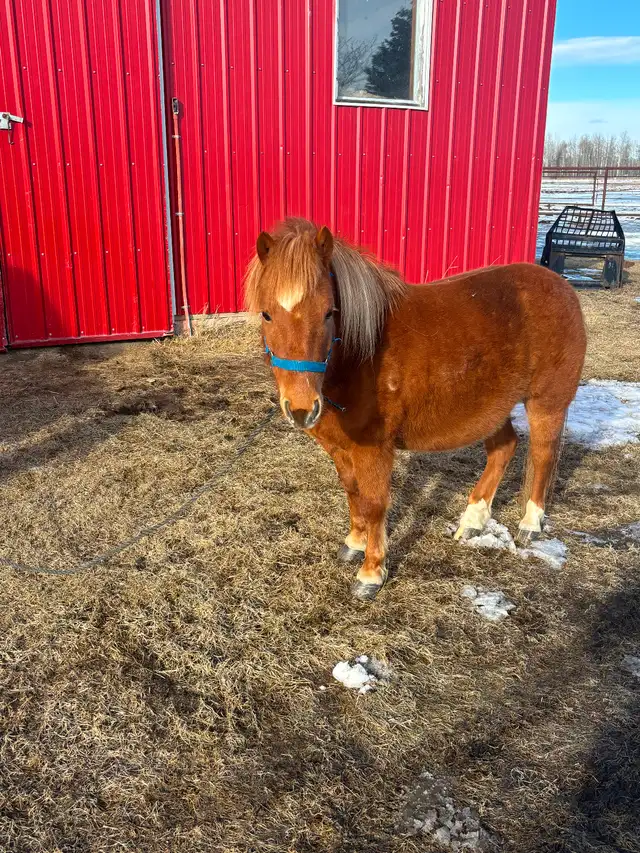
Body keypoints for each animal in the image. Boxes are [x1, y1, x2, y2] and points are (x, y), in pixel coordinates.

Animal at [245, 218, 587, 600]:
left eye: (329, 312)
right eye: (267, 314)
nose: (303, 409)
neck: (358, 353)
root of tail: (561, 286)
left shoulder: (374, 448)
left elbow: (374, 503)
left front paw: (371, 572)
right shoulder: (339, 447)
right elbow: (352, 492)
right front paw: (354, 543)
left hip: (546, 404)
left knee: (543, 454)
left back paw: (530, 524)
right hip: (491, 407)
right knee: (504, 448)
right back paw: (472, 521)